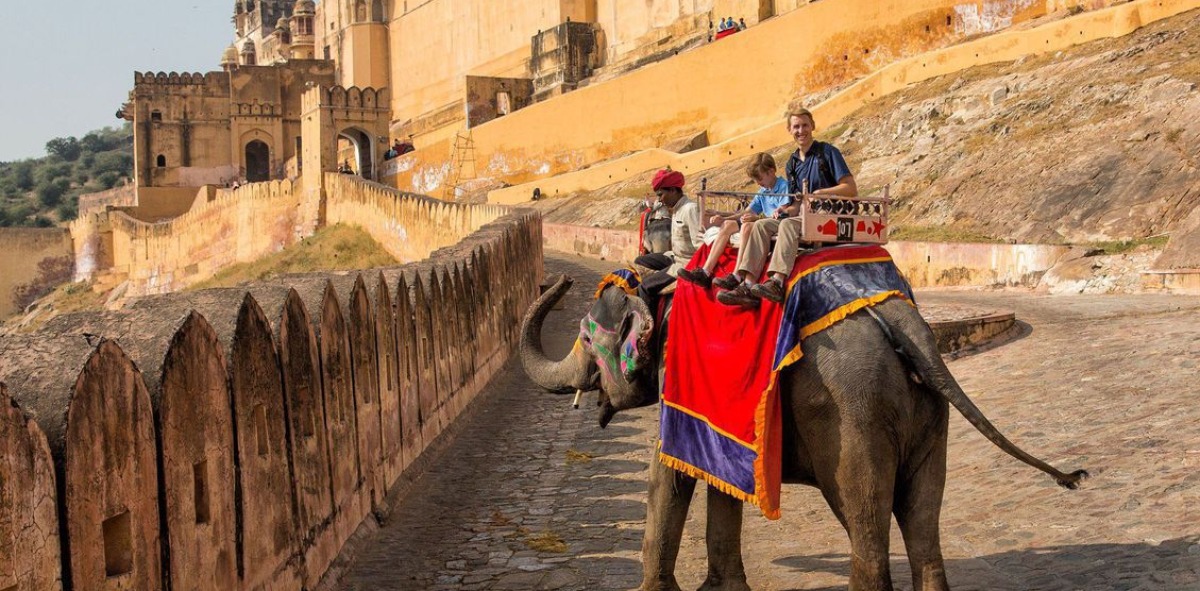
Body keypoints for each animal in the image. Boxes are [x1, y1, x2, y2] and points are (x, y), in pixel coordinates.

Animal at [519, 274, 1087, 591]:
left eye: (585, 340)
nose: (559, 280)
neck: (659, 291)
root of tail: (907, 324)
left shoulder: (677, 378)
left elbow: (670, 473)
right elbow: (719, 476)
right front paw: (721, 590)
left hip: (853, 415)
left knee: (865, 520)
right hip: (928, 413)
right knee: (924, 524)